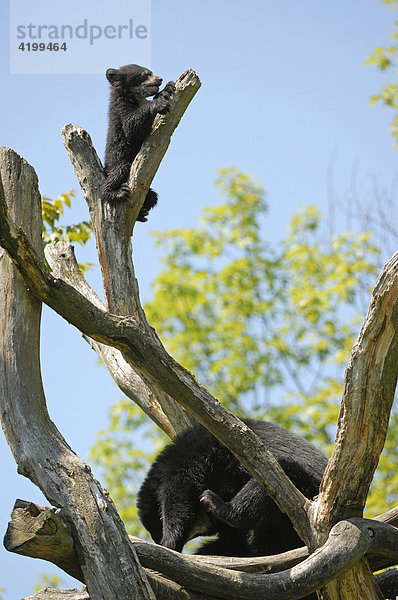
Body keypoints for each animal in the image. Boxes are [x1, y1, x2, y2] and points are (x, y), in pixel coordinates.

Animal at [101, 63, 174, 223]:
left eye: (151, 72)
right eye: (144, 74)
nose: (159, 78)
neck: (134, 97)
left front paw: (168, 89)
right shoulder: (121, 108)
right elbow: (131, 127)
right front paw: (157, 104)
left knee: (153, 197)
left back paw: (142, 213)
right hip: (117, 163)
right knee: (119, 170)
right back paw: (115, 193)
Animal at [137, 422, 326, 556]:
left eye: (156, 529)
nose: (156, 539)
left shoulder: (196, 454)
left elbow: (178, 490)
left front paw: (169, 542)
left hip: (304, 486)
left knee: (275, 478)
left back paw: (219, 506)